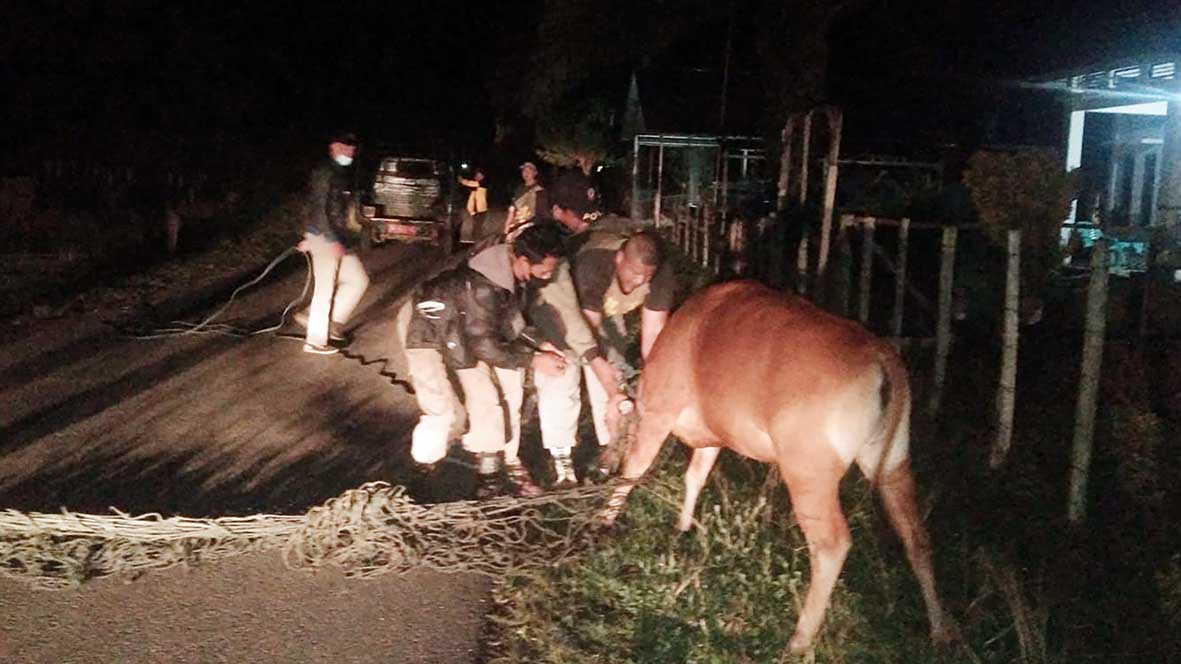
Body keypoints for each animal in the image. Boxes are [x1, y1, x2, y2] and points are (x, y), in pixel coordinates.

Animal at [599, 277, 949, 652]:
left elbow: (634, 469)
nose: (600, 465)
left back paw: (799, 640)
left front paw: (603, 522)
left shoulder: (660, 410)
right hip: (893, 461)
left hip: (809, 471)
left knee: (833, 543)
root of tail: (882, 357)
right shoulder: (716, 435)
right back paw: (941, 631)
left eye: (607, 419)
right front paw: (682, 528)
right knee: (917, 536)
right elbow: (694, 476)